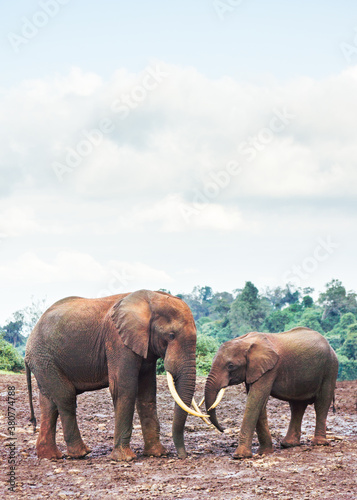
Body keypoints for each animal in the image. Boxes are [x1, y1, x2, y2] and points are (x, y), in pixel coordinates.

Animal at [24, 290, 206, 460]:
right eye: (171, 336)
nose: (183, 456)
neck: (151, 299)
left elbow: (147, 394)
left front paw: (157, 454)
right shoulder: (117, 339)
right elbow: (124, 388)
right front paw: (125, 458)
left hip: (44, 361)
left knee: (49, 403)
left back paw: (50, 456)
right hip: (44, 358)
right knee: (65, 397)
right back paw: (81, 453)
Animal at [204, 326, 338, 458]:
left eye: (230, 366)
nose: (223, 429)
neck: (245, 341)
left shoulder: (270, 369)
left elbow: (255, 401)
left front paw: (240, 456)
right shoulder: (254, 370)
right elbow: (258, 403)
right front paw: (264, 452)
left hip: (330, 368)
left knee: (321, 403)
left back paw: (319, 443)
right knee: (297, 406)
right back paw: (288, 444)